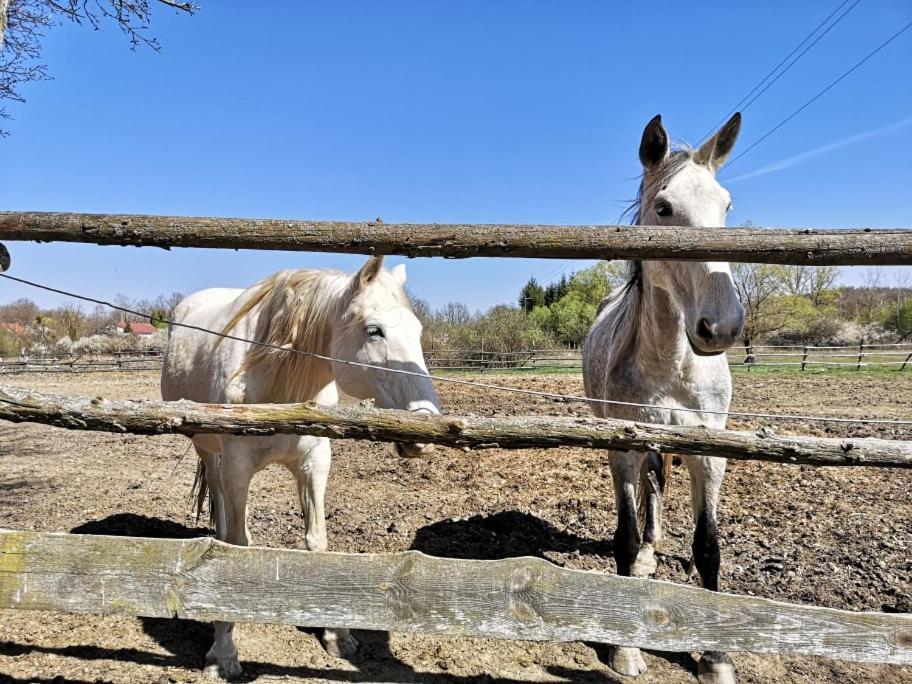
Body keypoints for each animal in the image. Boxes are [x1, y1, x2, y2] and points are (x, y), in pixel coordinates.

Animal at [162, 256, 440, 680]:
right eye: (374, 330)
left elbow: (317, 540)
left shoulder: (314, 464)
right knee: (223, 518)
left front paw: (337, 635)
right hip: (209, 452)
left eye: (418, 331)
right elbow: (236, 547)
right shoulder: (236, 468)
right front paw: (223, 651)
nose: (424, 429)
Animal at [584, 113, 748, 684]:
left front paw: (717, 658)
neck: (672, 365)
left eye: (726, 205)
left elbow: (709, 548)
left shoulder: (710, 451)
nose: (722, 326)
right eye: (663, 208)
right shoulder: (623, 447)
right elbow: (624, 536)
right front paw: (625, 648)